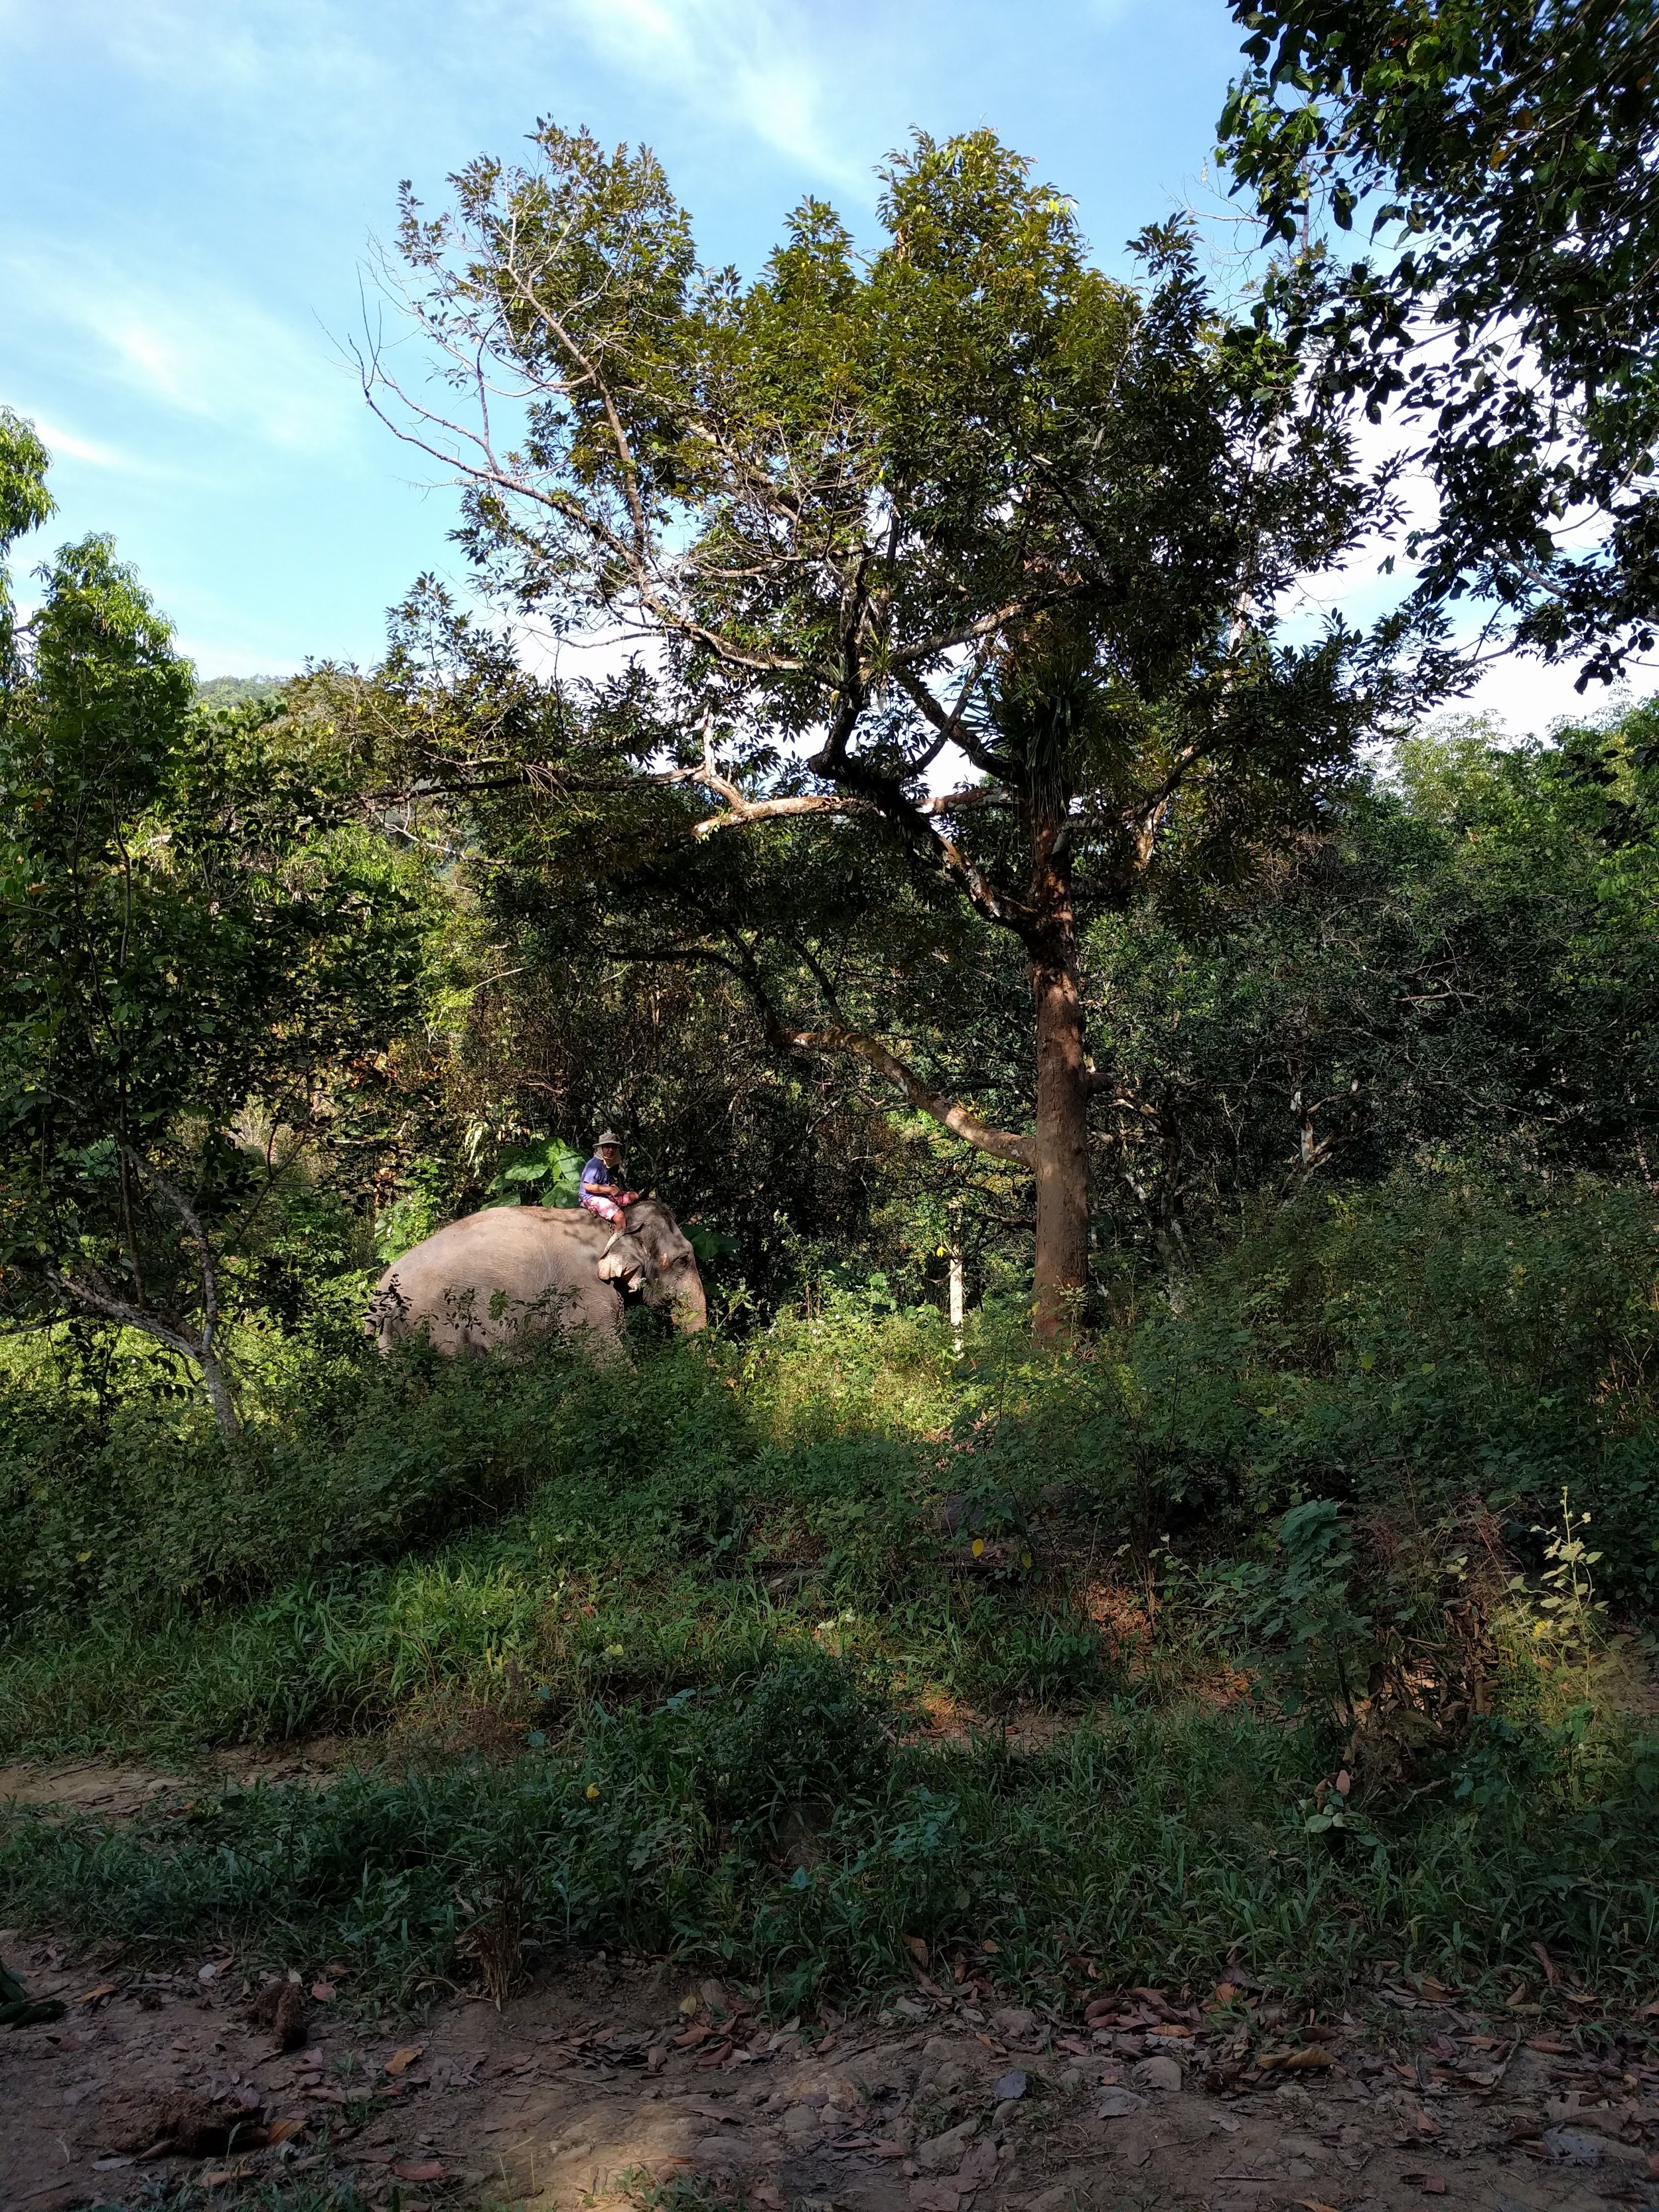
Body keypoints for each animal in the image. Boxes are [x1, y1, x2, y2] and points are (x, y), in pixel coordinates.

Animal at [366, 1197, 708, 1357]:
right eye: (683, 1260)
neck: (611, 1225)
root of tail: (381, 1294)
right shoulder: (583, 1289)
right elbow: (600, 1350)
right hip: (436, 1326)